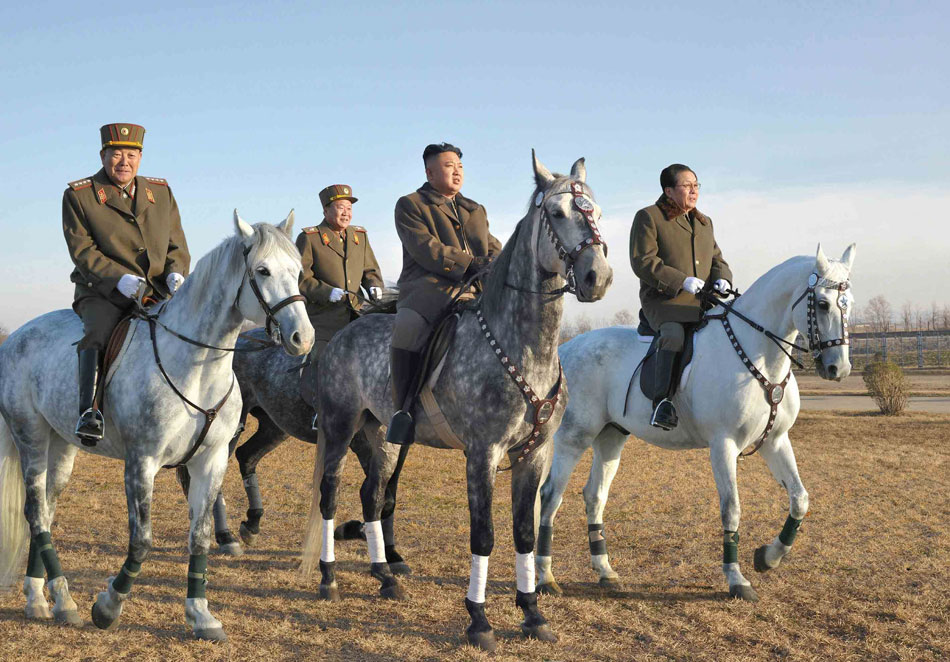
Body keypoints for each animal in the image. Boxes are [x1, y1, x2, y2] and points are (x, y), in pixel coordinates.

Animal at [0, 214, 314, 644]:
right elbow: (142, 540)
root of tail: (16, 336)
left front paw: (201, 614)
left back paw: (43, 599)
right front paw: (108, 607)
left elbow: (199, 536)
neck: (198, 367)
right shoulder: (141, 462)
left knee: (45, 510)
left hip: (61, 446)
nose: (303, 338)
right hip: (29, 435)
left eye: (298, 271)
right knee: (34, 511)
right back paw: (60, 600)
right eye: (262, 271)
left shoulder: (211, 461)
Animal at [304, 154, 612, 652]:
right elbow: (483, 536)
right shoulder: (482, 454)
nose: (597, 277)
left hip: (384, 435)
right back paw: (329, 578)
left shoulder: (536, 454)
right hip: (339, 426)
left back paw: (385, 577)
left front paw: (532, 614)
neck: (523, 345)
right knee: (330, 494)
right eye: (559, 213)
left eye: (598, 213)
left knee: (372, 494)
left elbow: (524, 533)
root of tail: (346, 329)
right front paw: (479, 621)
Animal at [540, 246, 860, 604]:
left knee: (594, 496)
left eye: (849, 303)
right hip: (574, 437)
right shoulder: (724, 445)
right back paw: (545, 577)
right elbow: (731, 508)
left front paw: (768, 557)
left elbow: (800, 499)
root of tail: (566, 348)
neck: (758, 353)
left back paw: (605, 571)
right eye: (823, 304)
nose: (838, 369)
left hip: (611, 438)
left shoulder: (776, 440)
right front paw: (736, 579)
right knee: (551, 495)